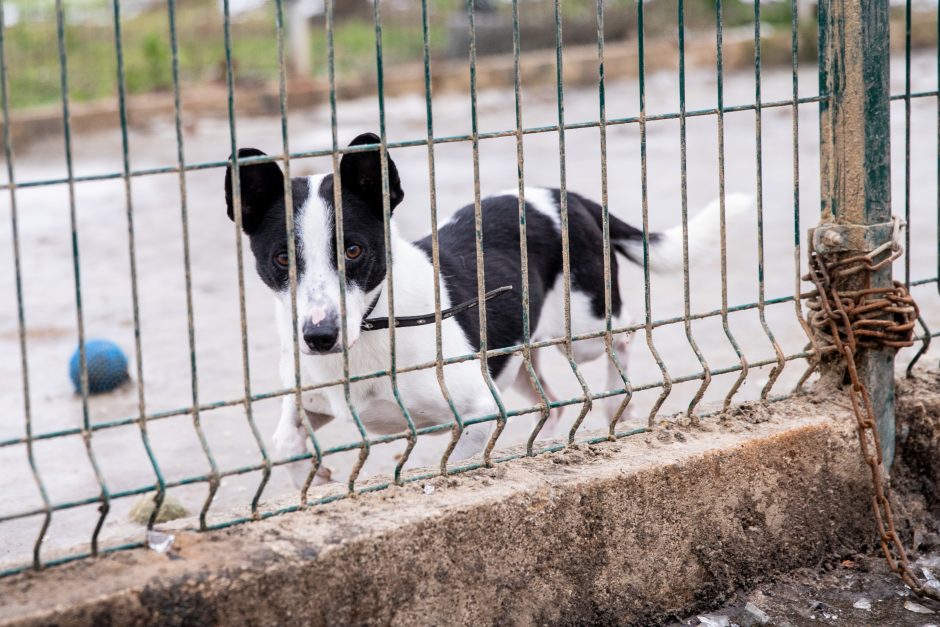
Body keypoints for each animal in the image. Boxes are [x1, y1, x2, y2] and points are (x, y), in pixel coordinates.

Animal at [226, 134, 748, 486]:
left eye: (353, 250)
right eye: (281, 259)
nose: (319, 337)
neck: (373, 324)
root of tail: (564, 196)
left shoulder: (479, 409)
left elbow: (455, 460)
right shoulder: (313, 398)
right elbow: (284, 443)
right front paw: (313, 479)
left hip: (583, 327)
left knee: (621, 338)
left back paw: (618, 399)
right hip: (515, 354)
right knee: (550, 401)